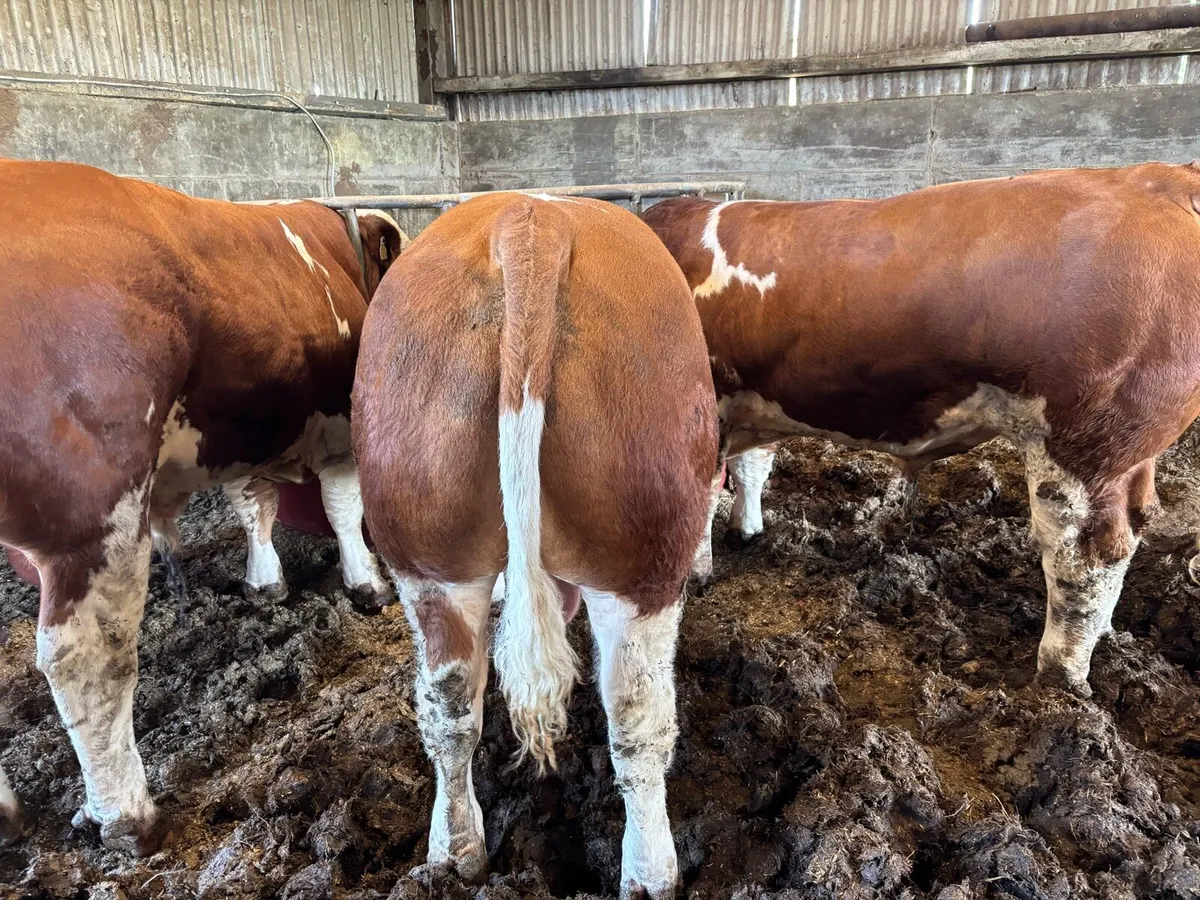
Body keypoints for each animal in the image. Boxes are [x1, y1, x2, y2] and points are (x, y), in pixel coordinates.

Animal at [0, 159, 404, 853]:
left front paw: (265, 585)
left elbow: (254, 507)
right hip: (94, 516)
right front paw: (367, 586)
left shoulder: (241, 440)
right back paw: (126, 815)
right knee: (88, 657)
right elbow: (343, 507)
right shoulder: (339, 425)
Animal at [353, 192, 718, 899]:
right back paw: (651, 876)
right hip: (644, 555)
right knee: (637, 718)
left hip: (427, 549)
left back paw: (456, 854)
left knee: (448, 707)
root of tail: (532, 223)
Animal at [641, 162, 1200, 699]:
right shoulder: (747, 402)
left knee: (1083, 559)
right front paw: (747, 528)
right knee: (1132, 528)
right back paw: (1105, 637)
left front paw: (697, 575)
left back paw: (1059, 675)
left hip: (1084, 447)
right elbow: (750, 467)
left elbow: (702, 498)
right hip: (1128, 455)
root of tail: (1163, 179)